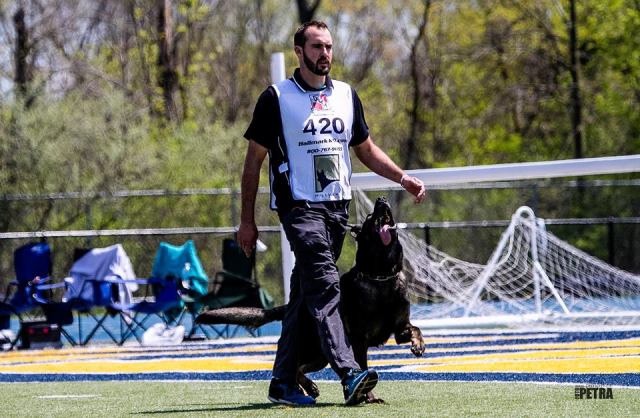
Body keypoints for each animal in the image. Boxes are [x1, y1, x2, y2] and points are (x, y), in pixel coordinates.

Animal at [197, 197, 425, 403]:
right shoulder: (359, 339)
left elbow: (415, 329)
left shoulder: (399, 329)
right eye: (370, 217)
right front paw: (368, 396)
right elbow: (363, 366)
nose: (381, 199)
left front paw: (419, 345)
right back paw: (304, 387)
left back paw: (308, 387)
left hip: (320, 355)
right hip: (314, 347)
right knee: (294, 365)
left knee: (301, 366)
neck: (380, 275)